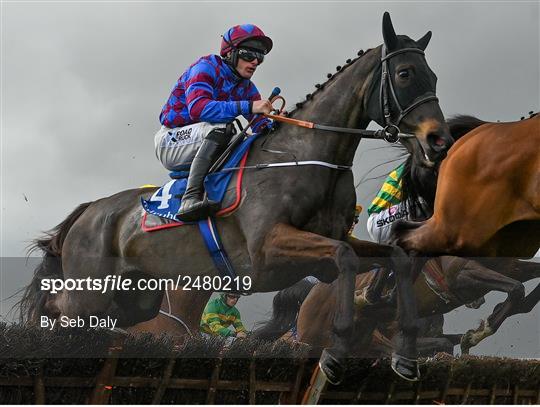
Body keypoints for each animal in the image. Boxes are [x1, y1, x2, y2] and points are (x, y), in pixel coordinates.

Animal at [19, 11, 454, 382]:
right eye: (404, 73)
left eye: (434, 75)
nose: (439, 141)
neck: (303, 155)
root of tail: (89, 210)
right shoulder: (268, 251)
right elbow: (344, 259)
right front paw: (335, 352)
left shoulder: (331, 242)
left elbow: (394, 256)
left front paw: (404, 351)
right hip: (90, 291)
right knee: (59, 307)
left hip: (136, 298)